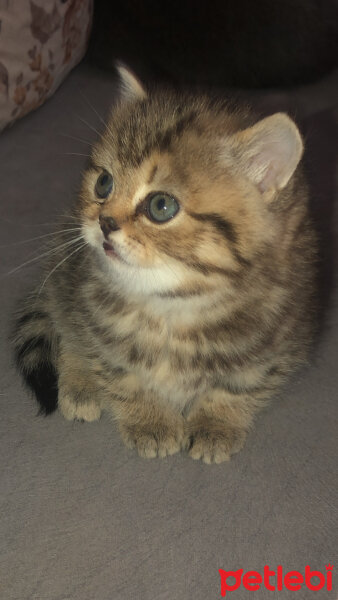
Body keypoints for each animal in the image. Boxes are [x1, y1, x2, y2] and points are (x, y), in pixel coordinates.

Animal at [11, 64, 316, 464]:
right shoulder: (93, 314)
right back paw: (79, 383)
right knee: (68, 328)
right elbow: (118, 369)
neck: (173, 307)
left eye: (161, 206)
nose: (104, 222)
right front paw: (150, 420)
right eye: (104, 183)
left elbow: (238, 385)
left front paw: (217, 423)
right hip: (64, 273)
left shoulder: (278, 340)